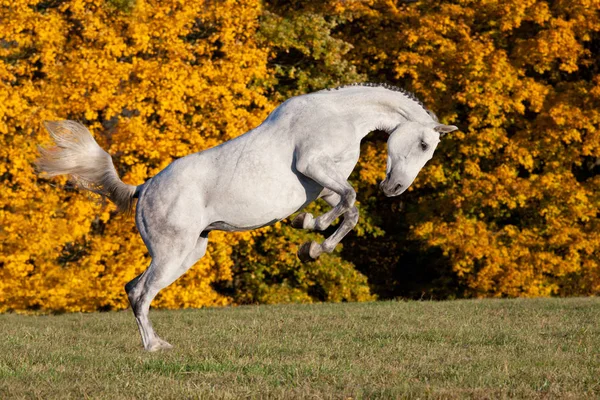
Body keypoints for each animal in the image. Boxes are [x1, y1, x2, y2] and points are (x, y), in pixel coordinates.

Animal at [37, 83, 458, 350]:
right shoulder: (313, 166)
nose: (395, 188)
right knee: (141, 294)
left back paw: (156, 342)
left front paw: (308, 236)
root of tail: (143, 188)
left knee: (132, 288)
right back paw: (155, 347)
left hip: (188, 254)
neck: (340, 115)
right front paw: (315, 236)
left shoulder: (322, 185)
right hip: (172, 254)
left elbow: (346, 209)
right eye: (423, 144)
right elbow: (350, 202)